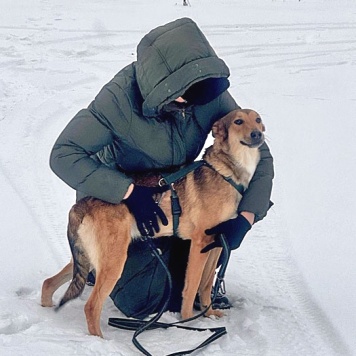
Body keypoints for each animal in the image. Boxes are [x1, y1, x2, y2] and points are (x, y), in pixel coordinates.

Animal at [41, 108, 264, 336]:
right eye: (238, 121)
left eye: (258, 120)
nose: (257, 134)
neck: (226, 171)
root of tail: (82, 204)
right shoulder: (200, 244)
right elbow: (191, 287)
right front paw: (187, 324)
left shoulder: (219, 242)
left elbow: (205, 284)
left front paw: (208, 315)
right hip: (113, 262)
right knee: (91, 306)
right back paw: (100, 340)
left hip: (88, 260)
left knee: (48, 283)